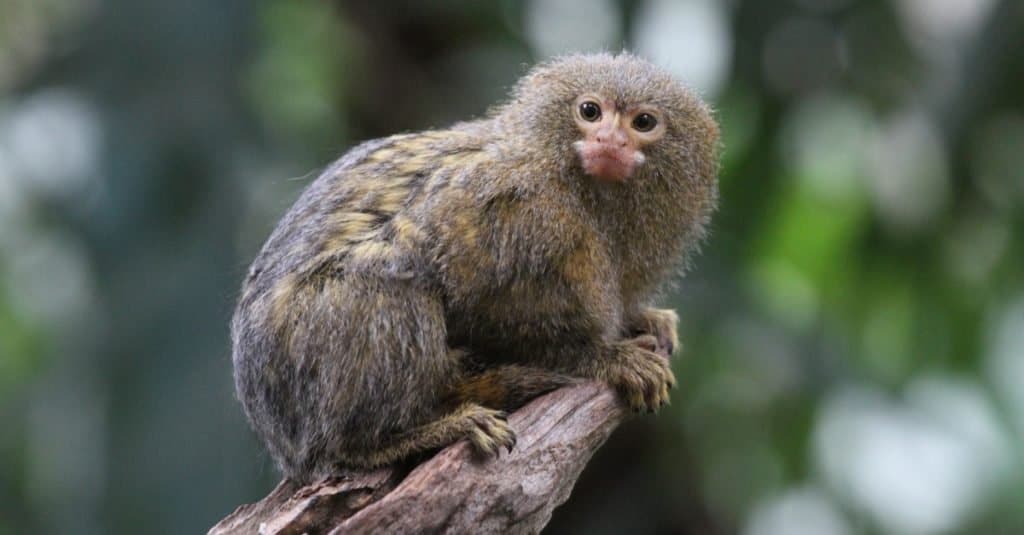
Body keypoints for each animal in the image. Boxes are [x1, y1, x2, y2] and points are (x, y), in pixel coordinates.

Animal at [230, 52, 720, 481]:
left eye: (643, 123)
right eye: (590, 111)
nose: (610, 142)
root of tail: (279, 438)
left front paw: (643, 318)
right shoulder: (510, 203)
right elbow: (464, 297)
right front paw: (603, 358)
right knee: (383, 286)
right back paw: (398, 438)